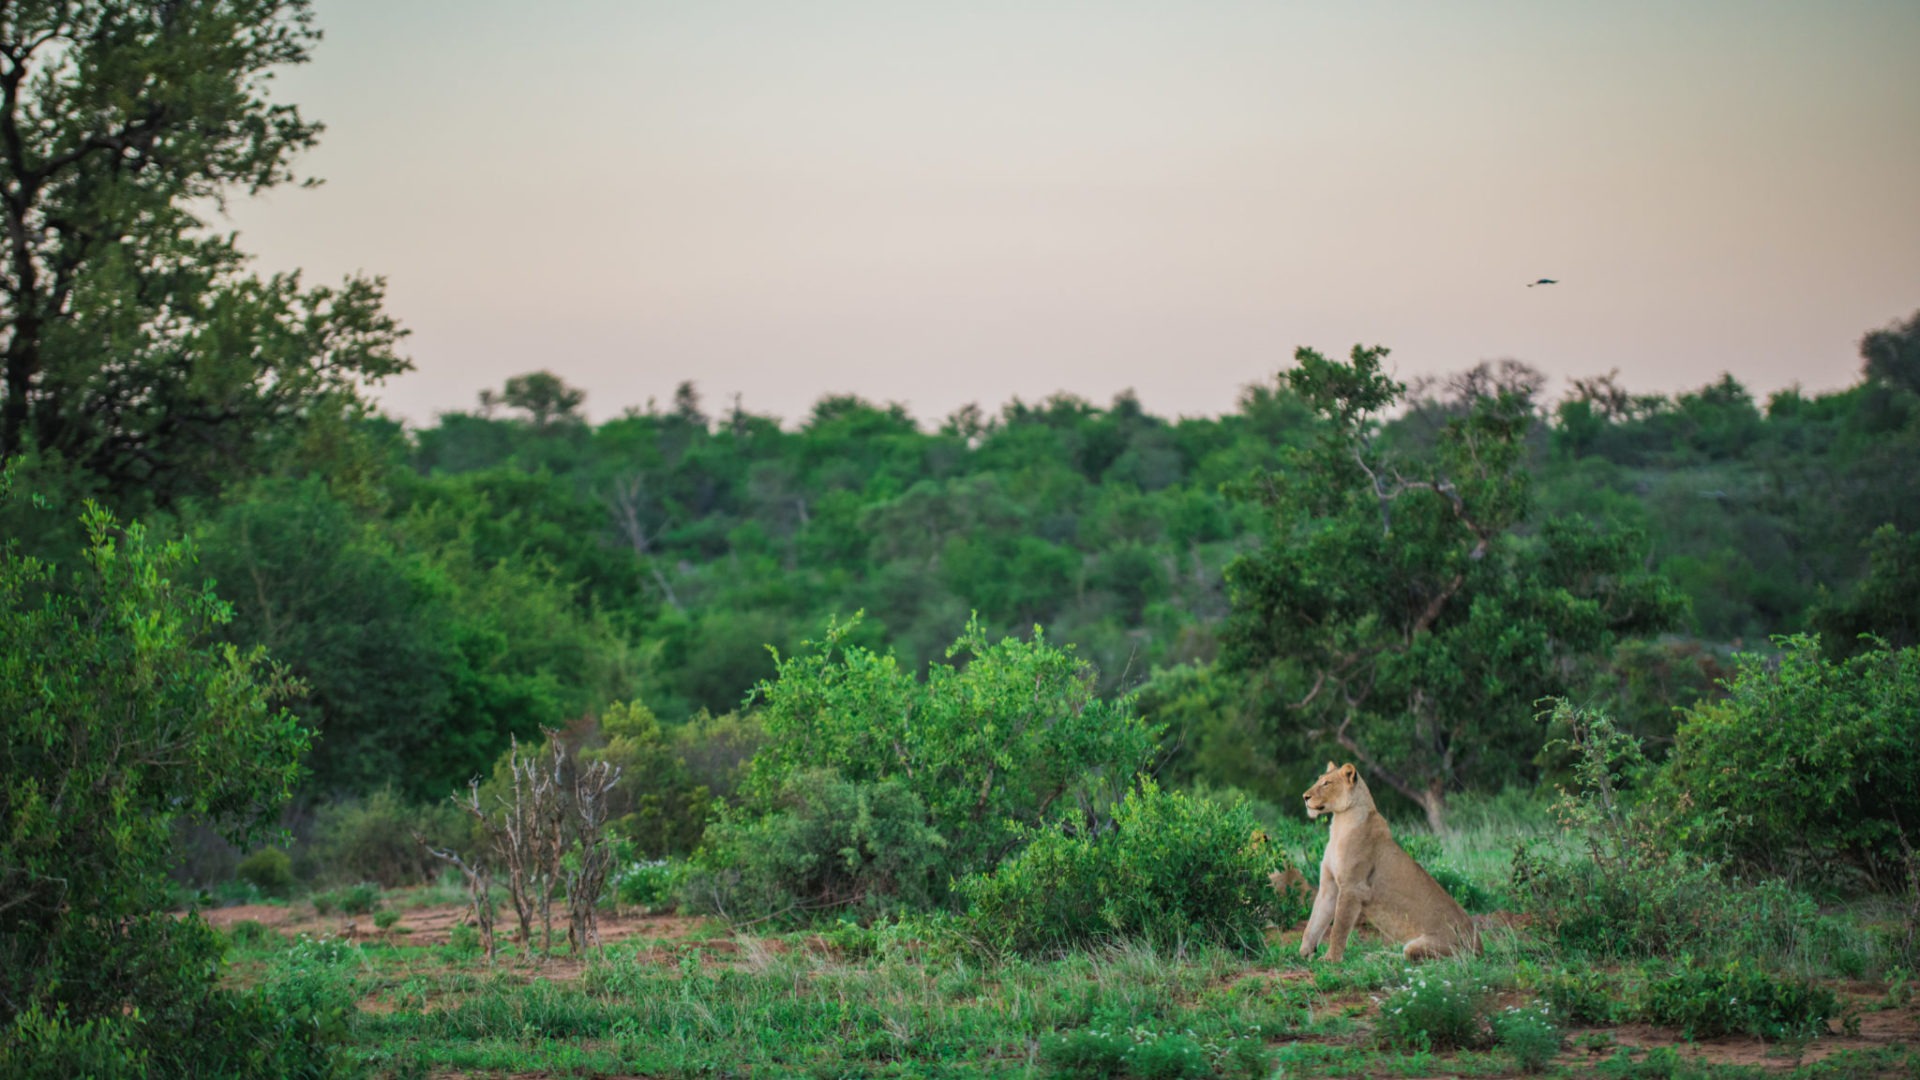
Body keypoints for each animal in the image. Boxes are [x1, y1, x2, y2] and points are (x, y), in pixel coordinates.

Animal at [1295, 762, 1478, 962]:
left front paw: (1330, 959)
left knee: (1410, 957)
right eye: (1319, 779)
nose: (1304, 797)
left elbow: (1339, 928)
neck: (1339, 823)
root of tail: (1479, 946)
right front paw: (1303, 953)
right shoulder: (1329, 886)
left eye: (1327, 783)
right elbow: (1314, 922)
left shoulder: (1353, 887)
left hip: (1432, 947)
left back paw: (1376, 957)